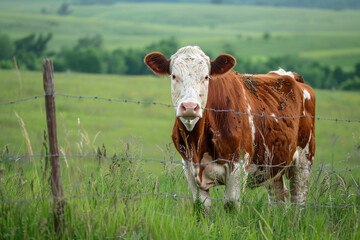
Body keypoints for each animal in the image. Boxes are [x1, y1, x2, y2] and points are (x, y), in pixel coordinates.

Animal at [143, 46, 316, 213]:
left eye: (206, 77)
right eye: (173, 76)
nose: (190, 107)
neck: (198, 142)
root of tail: (288, 75)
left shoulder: (238, 165)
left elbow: (231, 205)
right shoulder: (189, 166)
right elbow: (201, 207)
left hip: (304, 159)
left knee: (299, 198)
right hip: (273, 164)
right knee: (279, 197)